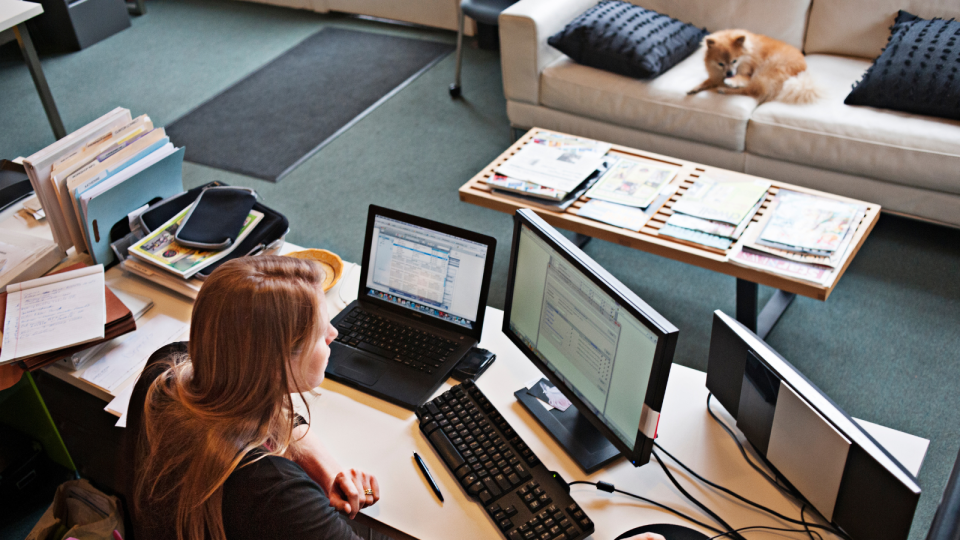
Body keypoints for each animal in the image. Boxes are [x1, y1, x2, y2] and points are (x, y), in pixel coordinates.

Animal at [688, 29, 816, 104]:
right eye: (721, 64)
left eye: (734, 61)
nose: (729, 74)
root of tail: (801, 73)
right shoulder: (716, 76)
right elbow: (707, 81)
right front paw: (695, 88)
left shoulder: (748, 73)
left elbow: (742, 79)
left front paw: (732, 81)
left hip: (765, 70)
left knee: (749, 90)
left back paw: (724, 89)